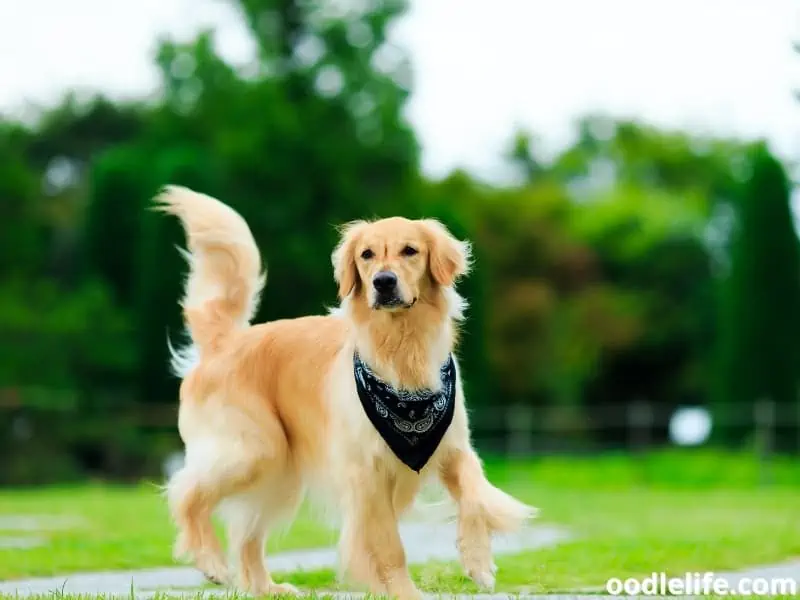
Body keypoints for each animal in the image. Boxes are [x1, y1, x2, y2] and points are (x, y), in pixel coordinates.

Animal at [157, 188, 536, 600]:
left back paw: (267, 587)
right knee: (185, 492)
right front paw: (403, 591)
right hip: (253, 450)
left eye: (410, 250)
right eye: (366, 255)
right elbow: (389, 545)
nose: (383, 282)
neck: (402, 353)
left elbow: (475, 498)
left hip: (278, 472)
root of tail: (226, 342)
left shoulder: (453, 447)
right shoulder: (367, 474)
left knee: (246, 534)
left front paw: (479, 563)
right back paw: (210, 561)